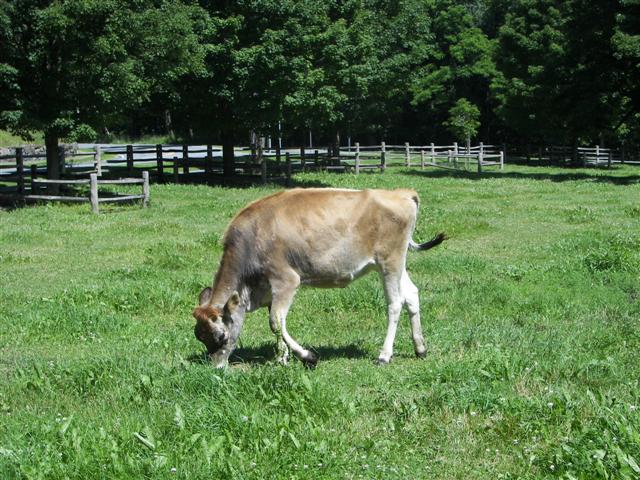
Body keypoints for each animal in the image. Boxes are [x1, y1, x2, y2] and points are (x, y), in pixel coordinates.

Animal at [192, 188, 446, 367]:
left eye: (221, 336)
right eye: (200, 337)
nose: (216, 367)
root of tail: (401, 193)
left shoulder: (286, 280)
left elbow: (275, 321)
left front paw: (307, 356)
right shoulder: (271, 290)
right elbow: (276, 323)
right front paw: (282, 359)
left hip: (389, 262)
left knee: (395, 303)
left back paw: (384, 355)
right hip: (396, 263)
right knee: (411, 294)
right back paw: (420, 349)